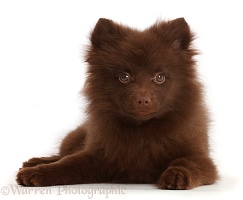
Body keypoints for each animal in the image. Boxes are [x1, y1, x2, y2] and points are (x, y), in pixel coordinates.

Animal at [17, 17, 218, 189]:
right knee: (61, 155)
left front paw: (176, 174)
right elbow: (67, 163)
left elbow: (186, 161)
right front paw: (37, 172)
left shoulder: (201, 156)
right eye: (124, 77)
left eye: (160, 77)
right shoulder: (98, 154)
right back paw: (34, 162)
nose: (143, 100)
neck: (141, 130)